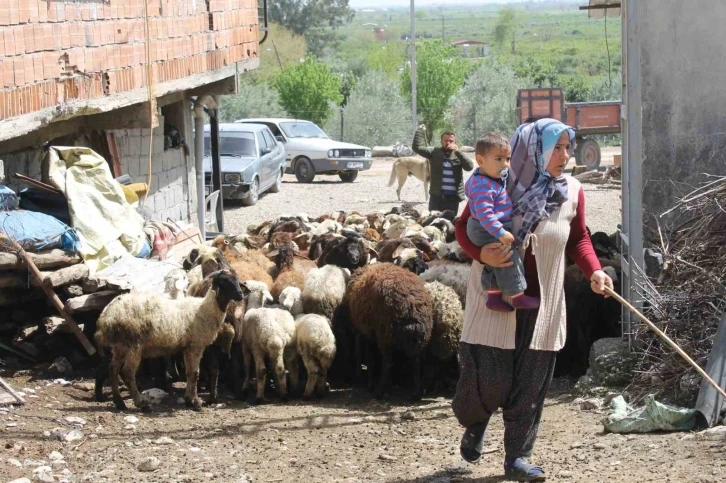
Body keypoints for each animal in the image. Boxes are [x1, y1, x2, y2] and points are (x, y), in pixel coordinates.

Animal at [94, 272, 245, 412]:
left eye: (236, 279)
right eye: (224, 281)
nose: (240, 295)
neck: (205, 309)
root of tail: (106, 316)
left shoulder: (188, 347)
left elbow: (190, 373)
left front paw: (189, 400)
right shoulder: (196, 346)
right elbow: (195, 373)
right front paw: (196, 402)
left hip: (120, 346)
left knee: (113, 369)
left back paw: (119, 402)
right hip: (133, 344)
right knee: (127, 373)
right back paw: (141, 404)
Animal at [346, 262, 432, 398]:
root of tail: (411, 308)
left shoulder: (366, 333)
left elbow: (369, 357)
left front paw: (371, 384)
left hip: (385, 335)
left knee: (387, 363)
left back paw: (380, 392)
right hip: (420, 339)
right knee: (416, 362)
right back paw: (416, 393)